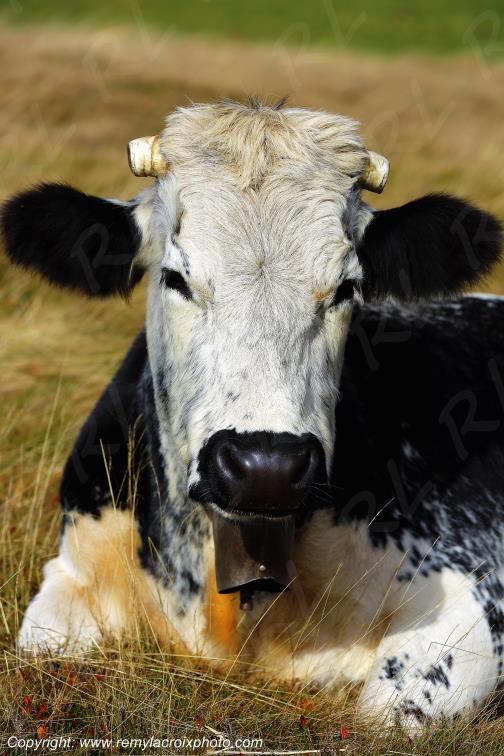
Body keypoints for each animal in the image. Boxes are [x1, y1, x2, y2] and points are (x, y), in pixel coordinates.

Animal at [2, 100, 503, 729]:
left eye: (347, 286)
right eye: (175, 276)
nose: (266, 465)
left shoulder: (470, 591)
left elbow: (384, 712)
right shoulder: (73, 569)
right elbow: (41, 652)